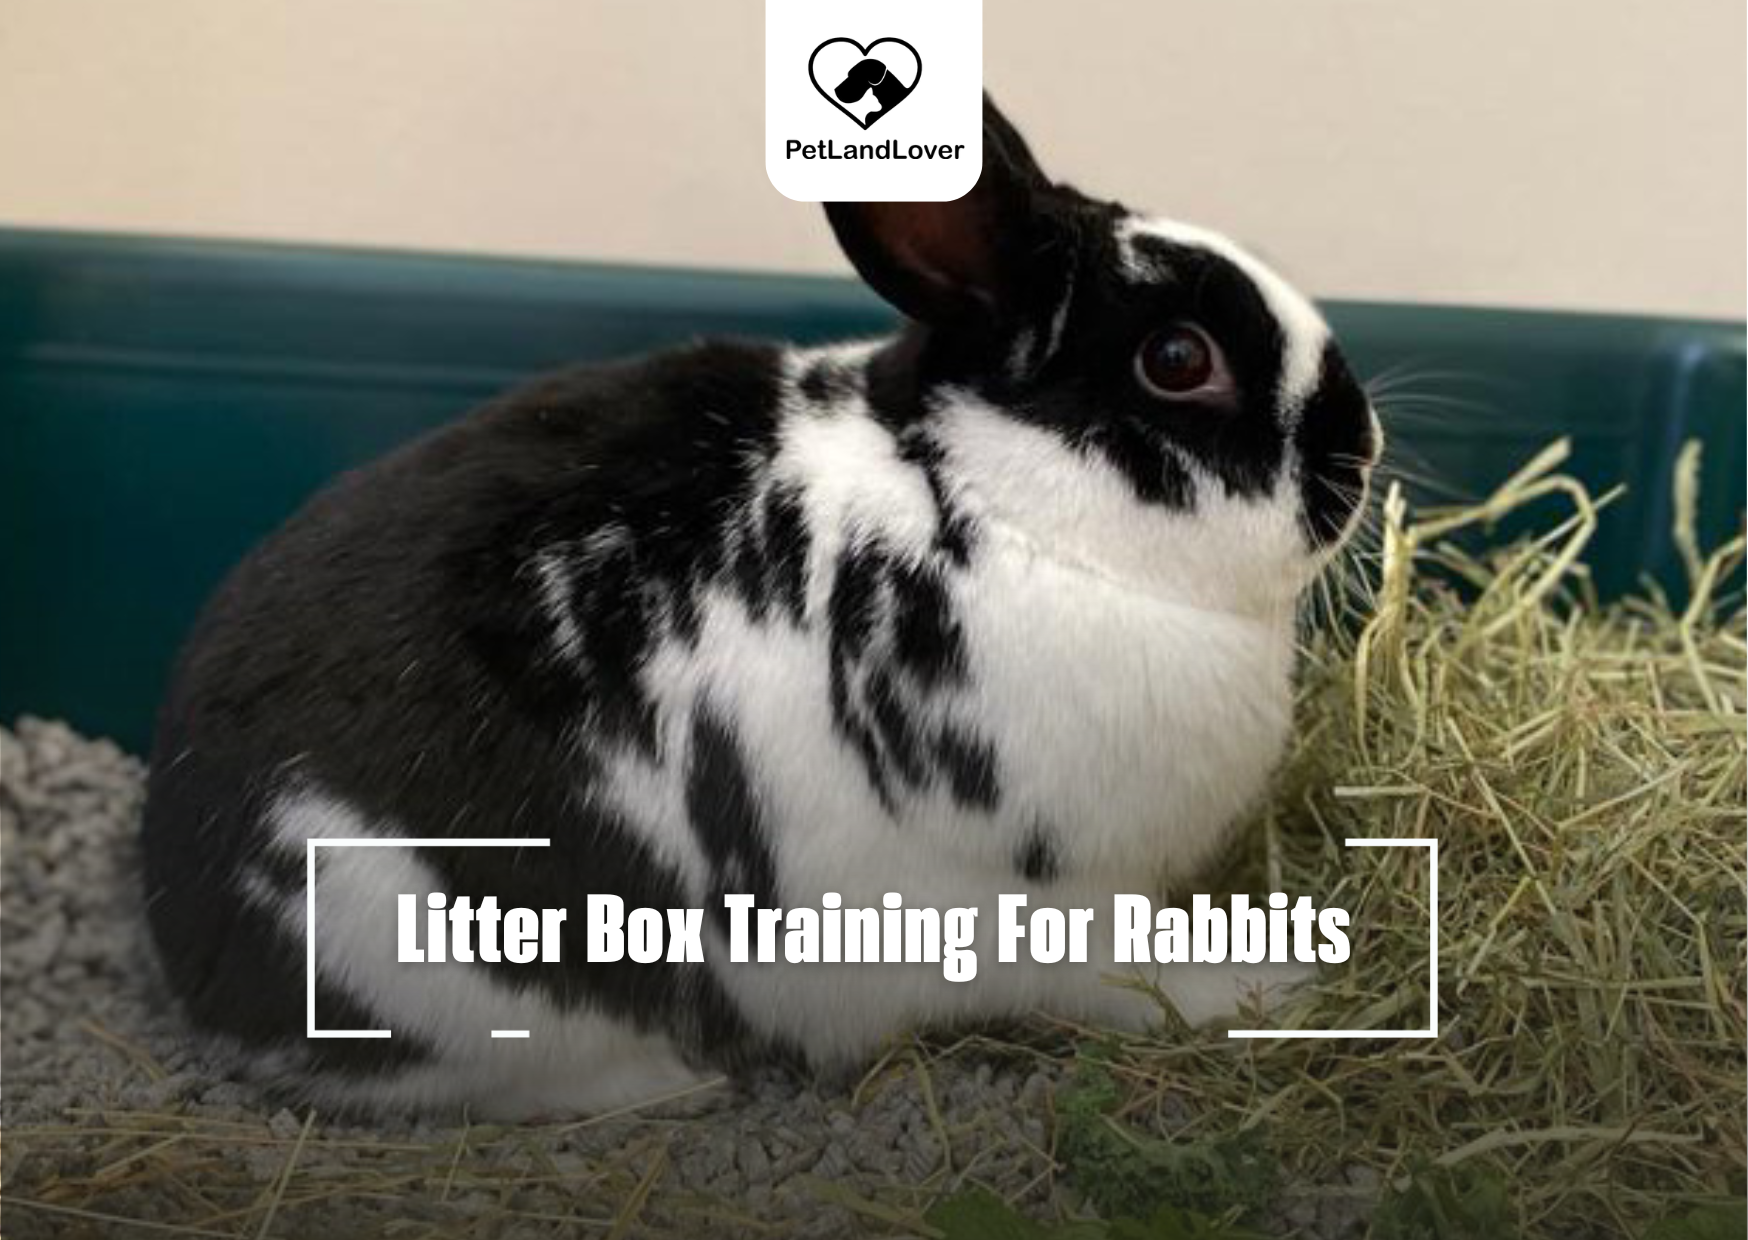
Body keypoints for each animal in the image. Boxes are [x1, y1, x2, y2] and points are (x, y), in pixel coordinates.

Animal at [139, 96, 1377, 1119]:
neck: (987, 502)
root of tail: (181, 923)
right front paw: (1278, 978)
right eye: (1177, 358)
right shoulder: (1039, 900)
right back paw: (671, 1083)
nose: (1358, 449)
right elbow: (1136, 970)